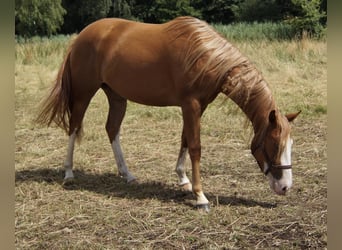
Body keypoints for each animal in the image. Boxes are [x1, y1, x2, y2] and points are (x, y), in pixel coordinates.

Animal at [37, 16, 300, 211]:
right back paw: (69, 172)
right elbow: (195, 146)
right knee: (74, 126)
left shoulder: (197, 107)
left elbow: (185, 140)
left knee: (112, 129)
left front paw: (183, 179)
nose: (285, 187)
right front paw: (200, 197)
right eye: (274, 144)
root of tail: (79, 37)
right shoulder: (190, 104)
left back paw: (127, 174)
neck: (205, 56)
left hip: (116, 96)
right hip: (84, 93)